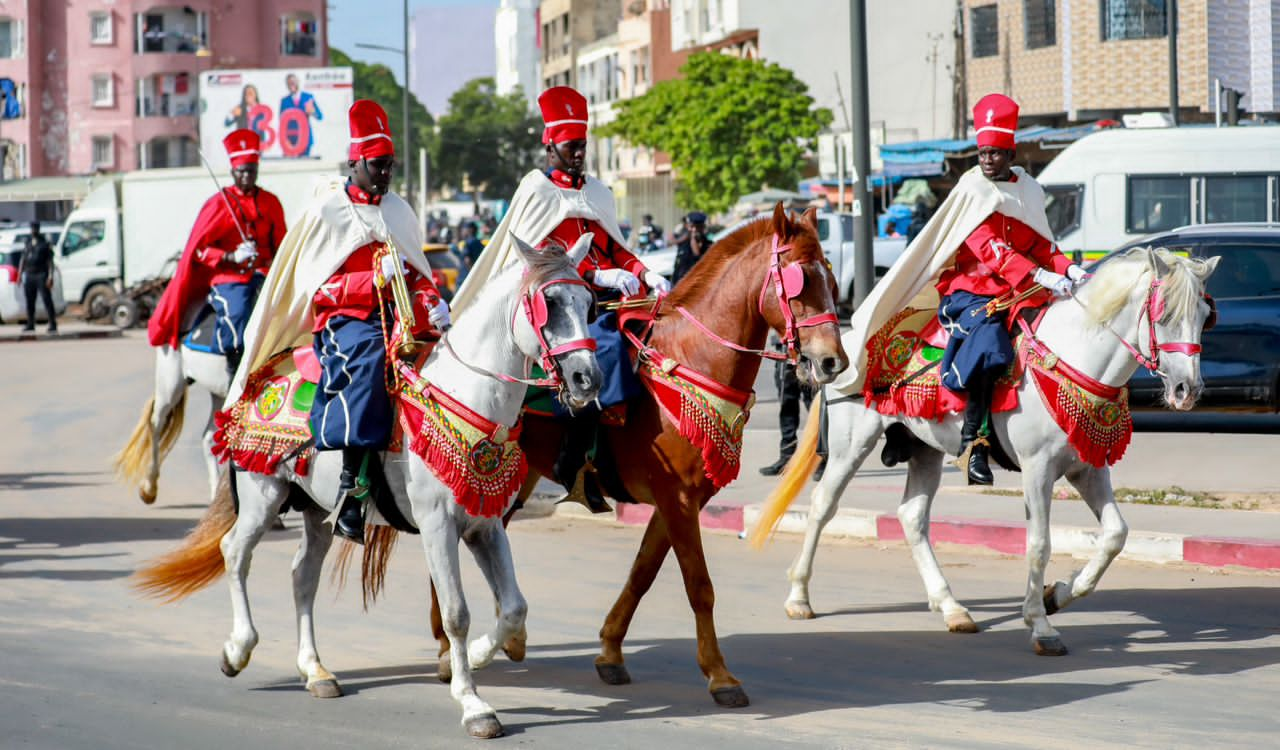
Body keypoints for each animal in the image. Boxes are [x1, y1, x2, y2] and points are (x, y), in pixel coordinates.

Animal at [135, 235, 604, 737]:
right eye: (549, 306)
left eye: (589, 304)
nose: (587, 379)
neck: (465, 402)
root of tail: (262, 374)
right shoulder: (438, 525)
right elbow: (456, 612)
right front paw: (473, 702)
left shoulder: (484, 525)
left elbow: (514, 606)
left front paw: (478, 656)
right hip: (263, 493)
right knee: (234, 551)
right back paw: (237, 649)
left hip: (317, 510)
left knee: (302, 575)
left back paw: (315, 671)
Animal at [419, 200, 849, 701]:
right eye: (799, 282)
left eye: (831, 281)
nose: (832, 361)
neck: (689, 359)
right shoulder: (677, 499)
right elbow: (699, 586)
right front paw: (720, 675)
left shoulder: (678, 501)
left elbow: (642, 573)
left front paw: (610, 651)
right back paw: (449, 649)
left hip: (515, 480)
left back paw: (507, 639)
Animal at [773, 247, 1213, 655]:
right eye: (1164, 314)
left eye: (1205, 315)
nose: (1187, 390)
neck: (1072, 357)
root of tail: (840, 342)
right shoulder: (1038, 469)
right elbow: (1039, 544)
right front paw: (1040, 624)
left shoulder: (1086, 469)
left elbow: (1115, 535)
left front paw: (1056, 595)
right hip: (850, 446)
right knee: (822, 506)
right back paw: (799, 597)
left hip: (925, 448)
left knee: (912, 516)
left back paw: (951, 607)